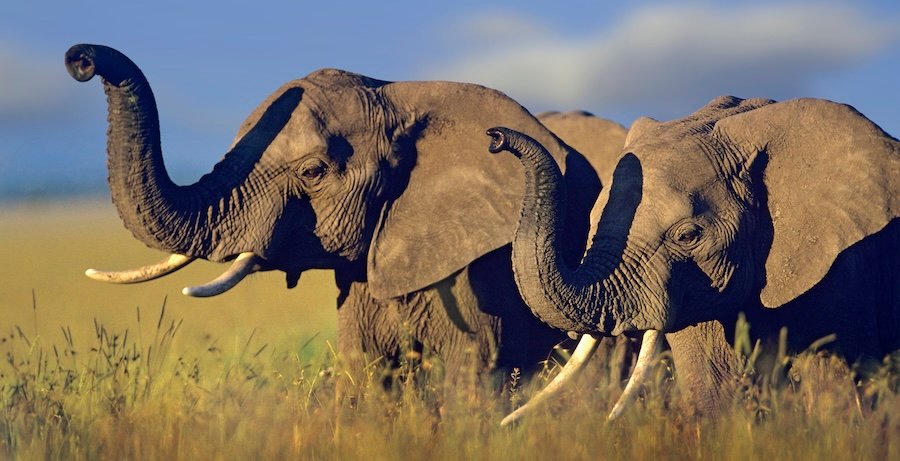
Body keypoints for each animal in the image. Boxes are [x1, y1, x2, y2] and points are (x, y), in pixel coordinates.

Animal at [62, 44, 630, 391]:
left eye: (313, 172)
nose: (80, 58)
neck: (398, 95)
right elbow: (367, 369)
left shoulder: (480, 268)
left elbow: (474, 368)